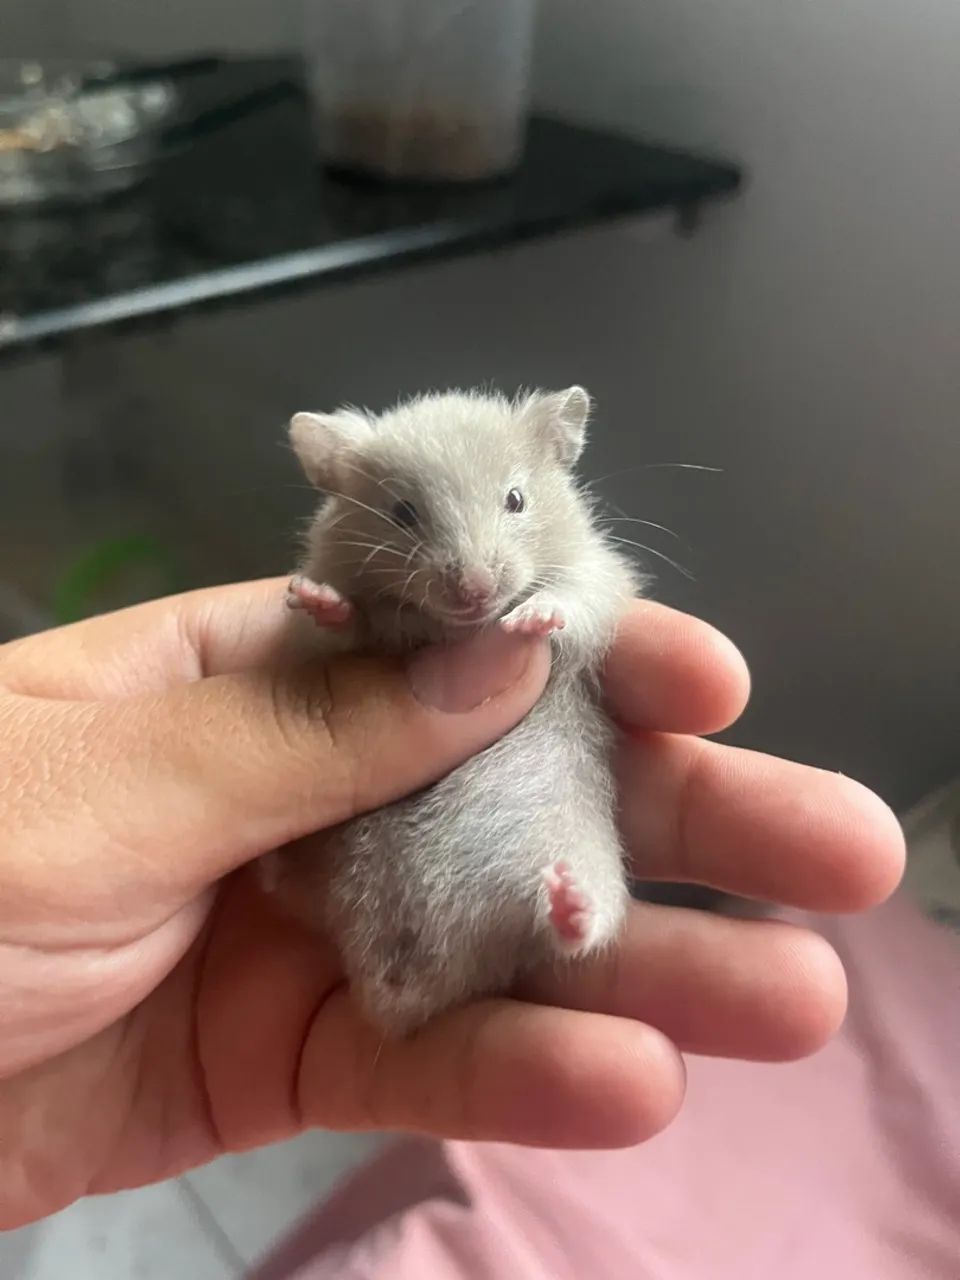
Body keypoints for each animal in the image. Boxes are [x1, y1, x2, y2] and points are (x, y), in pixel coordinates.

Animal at [267, 387, 639, 1037]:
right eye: (402, 512)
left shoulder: (602, 578)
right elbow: (342, 626)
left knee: (568, 934)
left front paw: (529, 620)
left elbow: (572, 599)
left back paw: (569, 898)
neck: (453, 628)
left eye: (516, 499)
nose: (476, 591)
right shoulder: (326, 636)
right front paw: (316, 597)